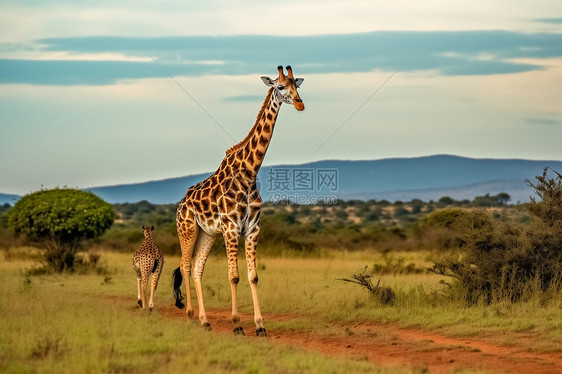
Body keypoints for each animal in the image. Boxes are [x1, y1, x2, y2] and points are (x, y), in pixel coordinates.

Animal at [172, 64, 304, 336]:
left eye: (296, 84)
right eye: (280, 86)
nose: (300, 103)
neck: (249, 172)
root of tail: (180, 205)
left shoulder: (252, 228)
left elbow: (253, 276)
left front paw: (260, 325)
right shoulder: (232, 228)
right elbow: (233, 276)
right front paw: (237, 324)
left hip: (207, 233)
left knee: (197, 269)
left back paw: (205, 321)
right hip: (187, 229)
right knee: (185, 266)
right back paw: (190, 317)